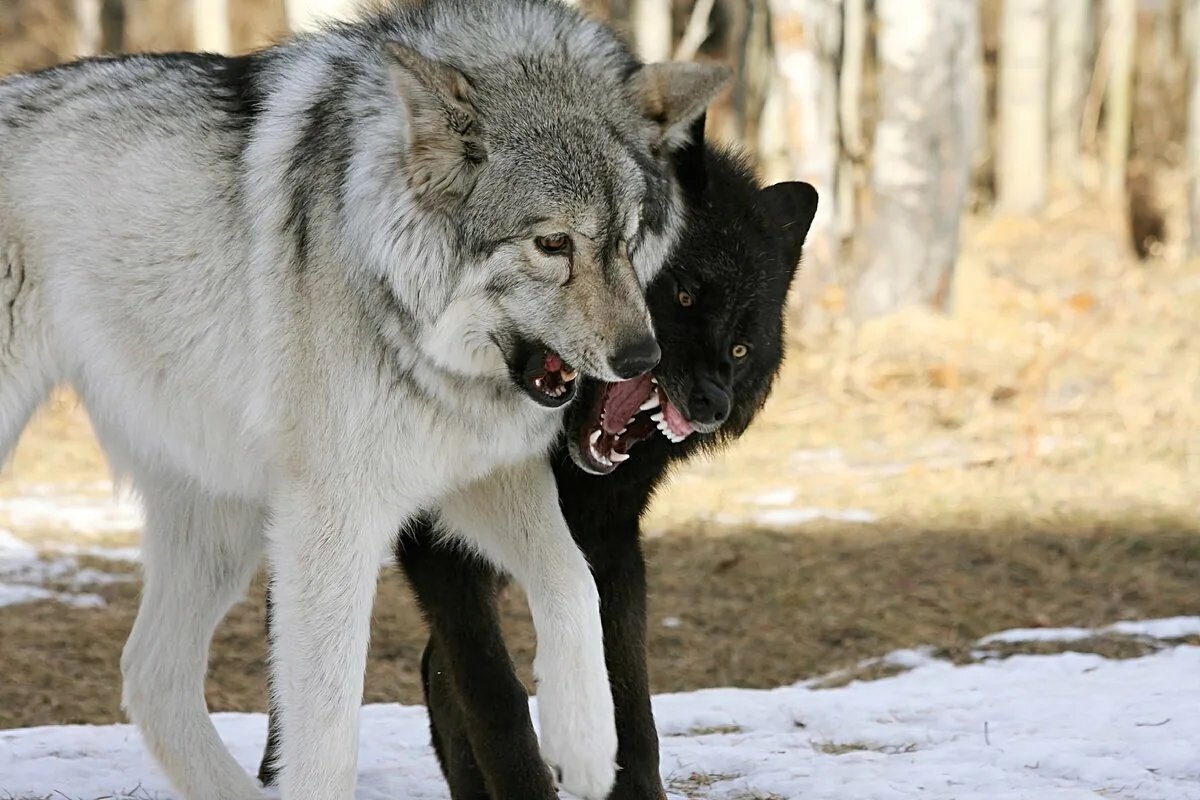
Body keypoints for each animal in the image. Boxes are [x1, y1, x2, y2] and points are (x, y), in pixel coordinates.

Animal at [0, 3, 729, 796]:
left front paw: (587, 743)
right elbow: (324, 734)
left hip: (221, 518)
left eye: (627, 241)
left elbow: (574, 581)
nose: (641, 358)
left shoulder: (476, 475)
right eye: (552, 243)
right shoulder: (333, 519)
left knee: (150, 674)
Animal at [253, 115, 816, 796]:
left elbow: (629, 707)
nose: (711, 401)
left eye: (740, 345)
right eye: (683, 295)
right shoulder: (438, 543)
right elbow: (494, 693)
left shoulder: (608, 543)